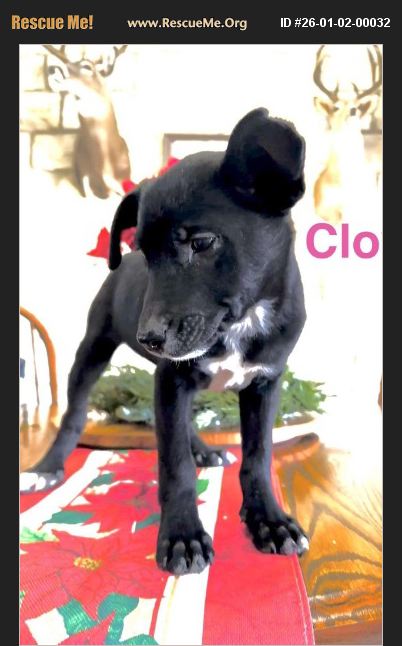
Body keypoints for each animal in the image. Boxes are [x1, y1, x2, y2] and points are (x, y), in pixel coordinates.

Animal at [21, 108, 309, 574]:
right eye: (144, 252)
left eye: (202, 243)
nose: (149, 337)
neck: (242, 322)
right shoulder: (172, 378)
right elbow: (174, 465)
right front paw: (182, 535)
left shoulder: (264, 381)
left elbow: (259, 455)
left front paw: (268, 520)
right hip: (92, 350)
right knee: (74, 415)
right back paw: (47, 468)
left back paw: (205, 450)